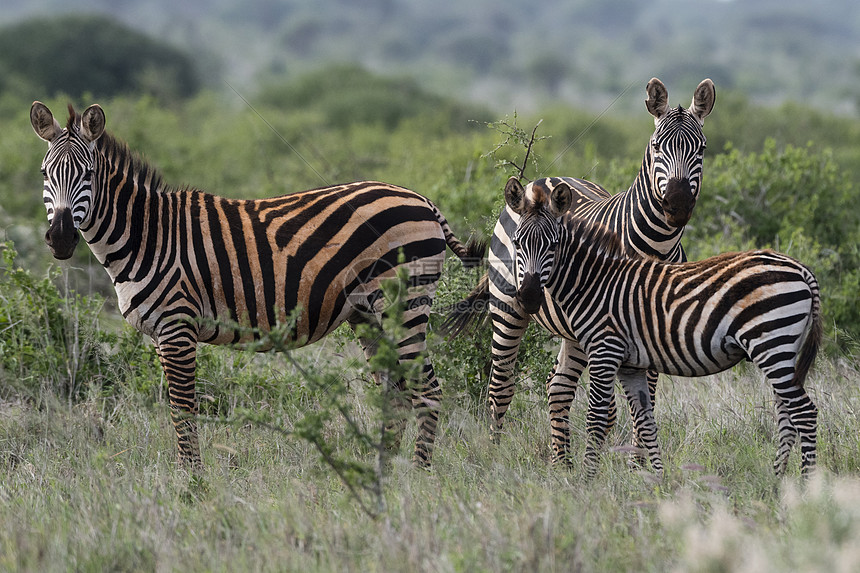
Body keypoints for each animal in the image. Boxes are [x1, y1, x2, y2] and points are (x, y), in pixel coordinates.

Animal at [30, 101, 484, 470]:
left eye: (88, 174)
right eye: (44, 174)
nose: (61, 239)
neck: (148, 236)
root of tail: (423, 200)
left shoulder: (176, 327)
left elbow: (183, 410)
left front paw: (192, 486)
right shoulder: (163, 332)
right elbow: (179, 409)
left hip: (404, 305)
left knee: (428, 392)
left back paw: (418, 479)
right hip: (369, 314)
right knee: (397, 397)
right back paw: (383, 476)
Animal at [446, 77, 716, 460]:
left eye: (701, 149)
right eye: (656, 147)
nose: (677, 205)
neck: (656, 247)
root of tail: (542, 181)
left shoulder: (652, 327)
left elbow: (645, 398)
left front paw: (639, 461)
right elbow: (615, 405)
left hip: (572, 329)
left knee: (557, 385)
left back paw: (562, 461)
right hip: (508, 307)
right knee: (500, 387)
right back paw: (495, 455)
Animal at [508, 181, 824, 476]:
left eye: (552, 245)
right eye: (516, 243)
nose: (529, 296)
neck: (593, 283)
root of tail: (800, 268)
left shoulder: (604, 351)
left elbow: (595, 419)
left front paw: (586, 481)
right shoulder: (630, 365)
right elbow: (646, 421)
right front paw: (657, 480)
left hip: (771, 343)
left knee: (804, 413)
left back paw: (805, 484)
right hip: (783, 349)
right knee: (786, 414)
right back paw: (778, 480)